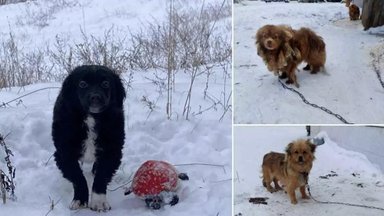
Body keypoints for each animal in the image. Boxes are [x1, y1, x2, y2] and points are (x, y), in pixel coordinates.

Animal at [51, 65, 125, 212]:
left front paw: (98, 202)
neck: (91, 117)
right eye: (82, 84)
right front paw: (80, 200)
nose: (95, 97)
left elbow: (102, 176)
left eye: (106, 83)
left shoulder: (112, 151)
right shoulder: (64, 153)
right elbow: (78, 177)